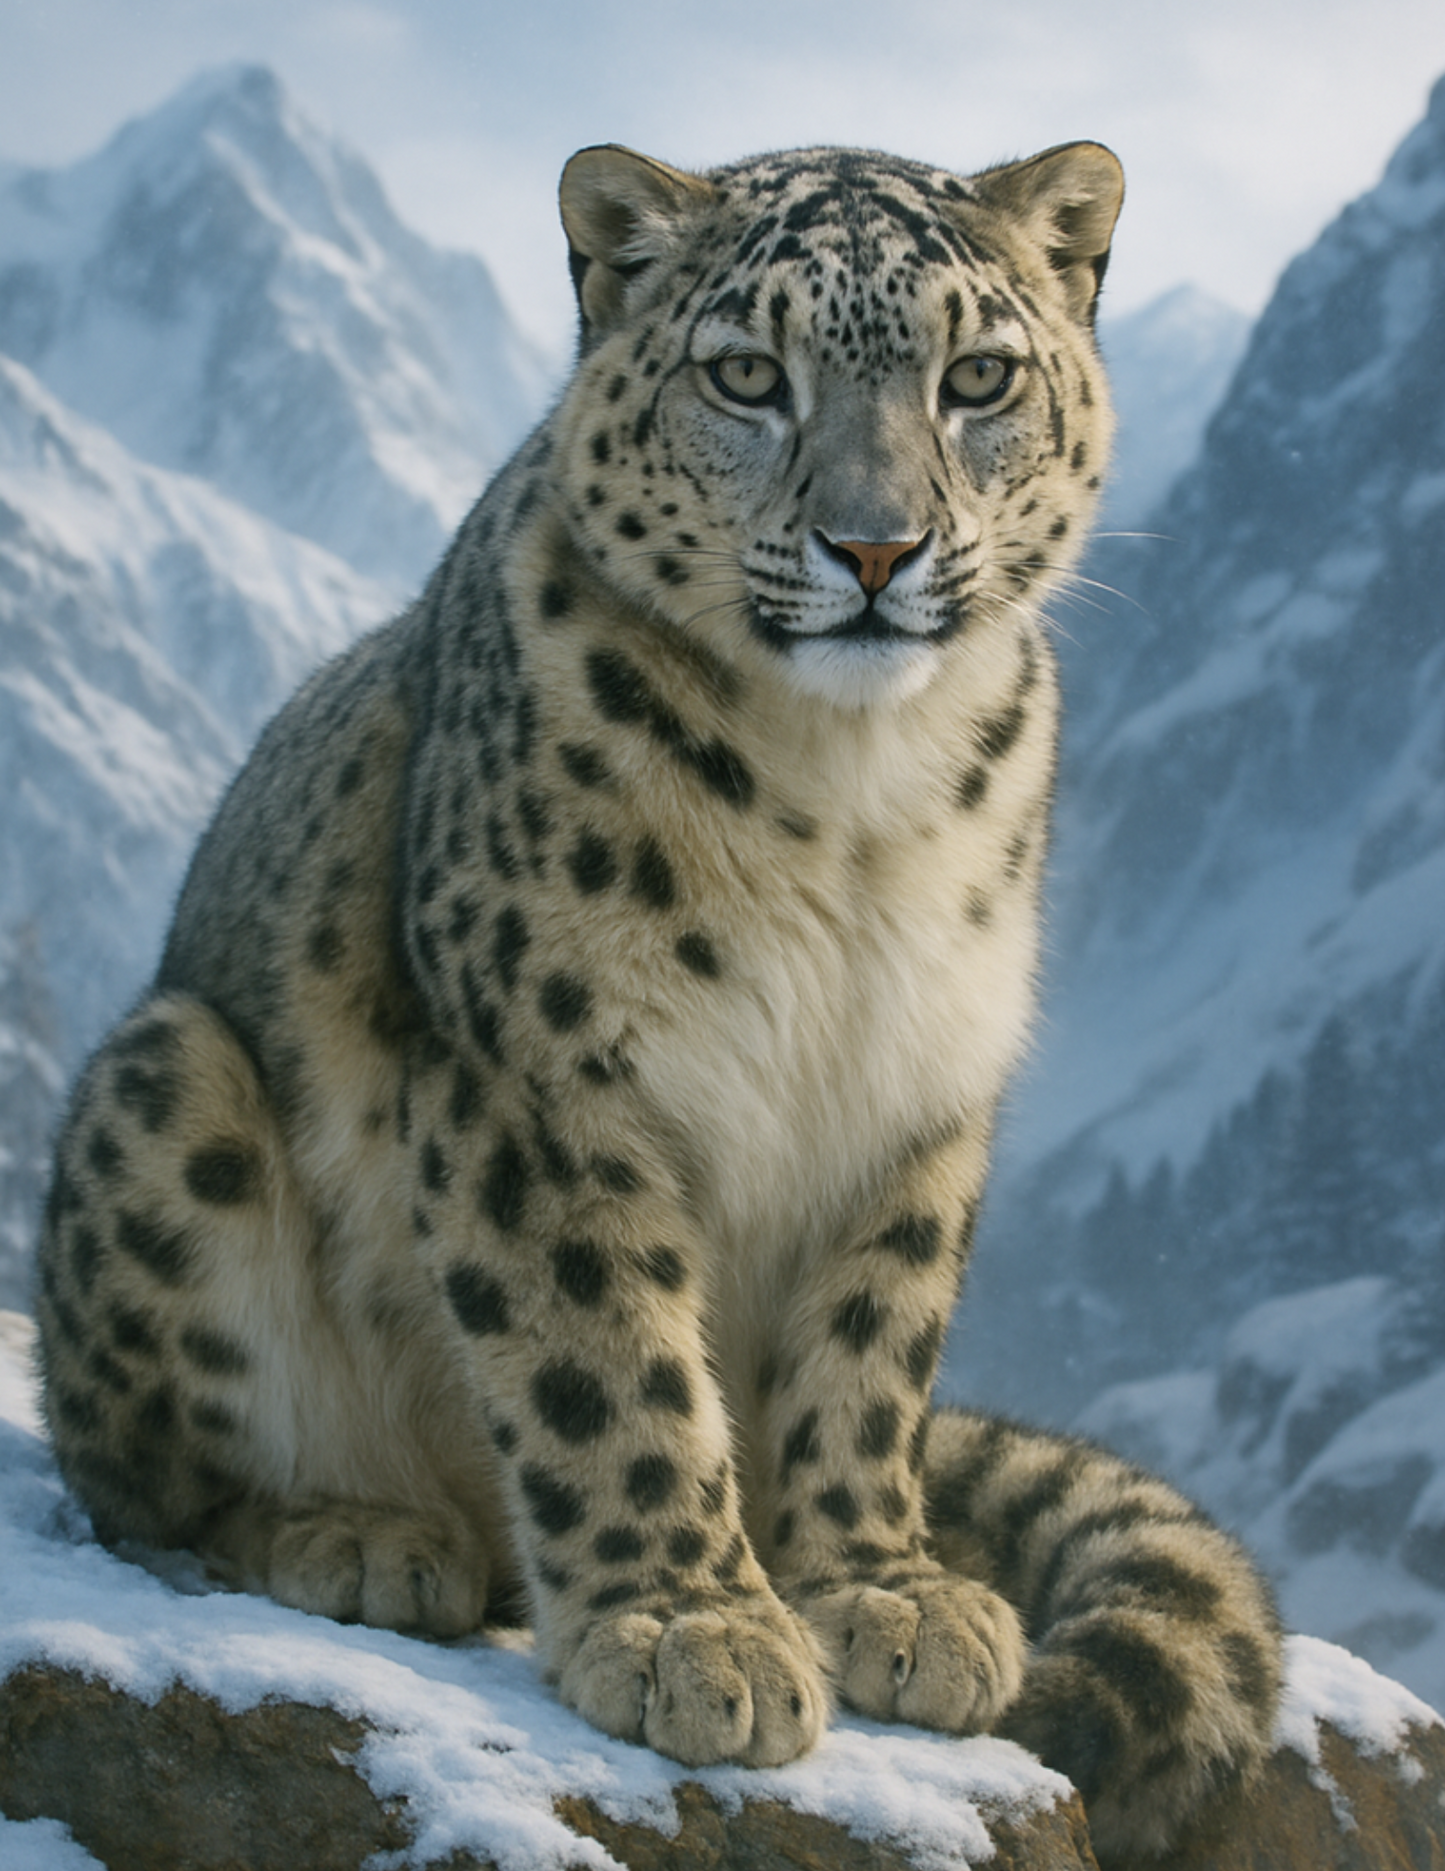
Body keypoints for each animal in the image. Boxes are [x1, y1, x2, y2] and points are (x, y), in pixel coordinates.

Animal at [34, 138, 1281, 1862]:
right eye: (747, 373)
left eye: (978, 376)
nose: (876, 548)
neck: (855, 795)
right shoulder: (544, 1073)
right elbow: (605, 1351)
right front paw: (693, 1628)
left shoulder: (917, 1090)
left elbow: (871, 1347)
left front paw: (881, 1592)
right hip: (170, 1088)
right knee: (146, 1482)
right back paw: (361, 1529)